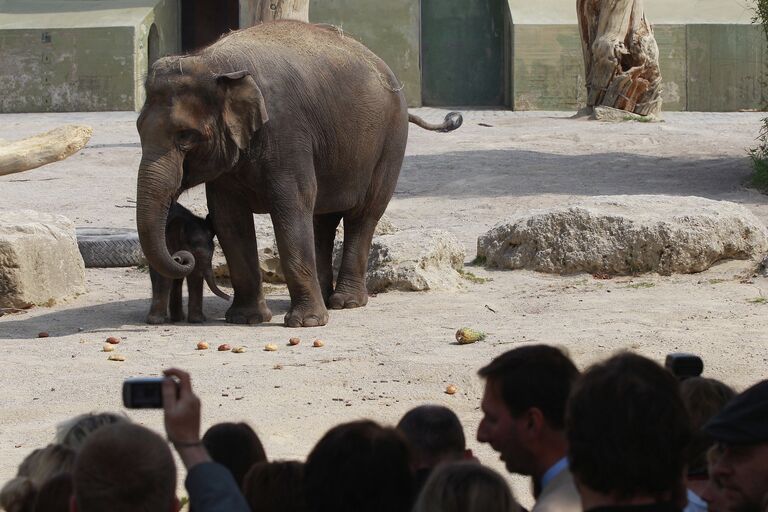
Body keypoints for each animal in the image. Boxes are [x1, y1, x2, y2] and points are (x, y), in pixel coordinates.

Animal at [136, 21, 462, 328]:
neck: (213, 63)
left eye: (186, 137)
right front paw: (246, 319)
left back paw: (346, 303)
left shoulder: (287, 133)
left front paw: (306, 323)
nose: (181, 256)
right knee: (322, 219)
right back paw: (327, 297)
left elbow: (290, 208)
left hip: (390, 142)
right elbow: (229, 219)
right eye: (138, 129)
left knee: (363, 215)